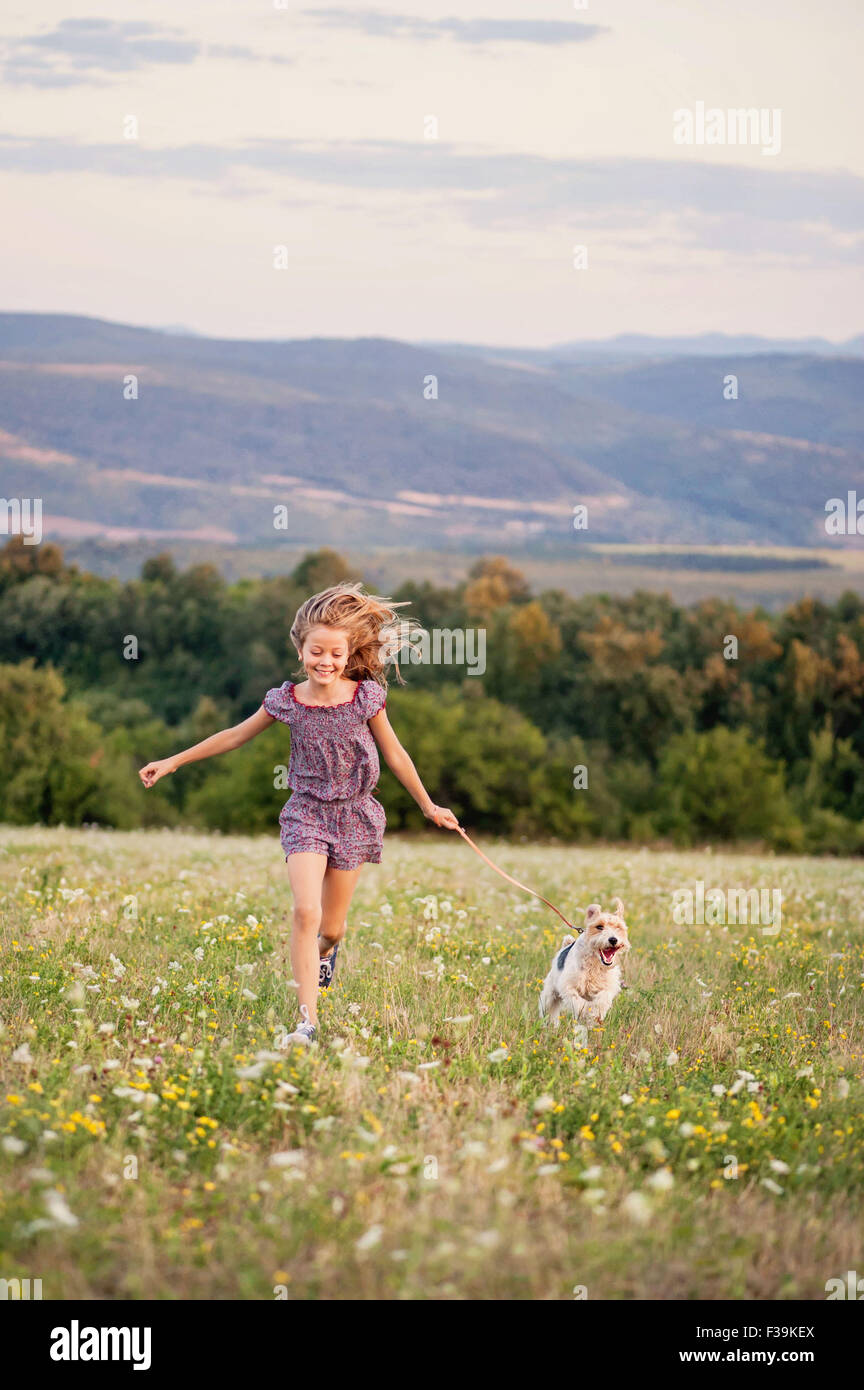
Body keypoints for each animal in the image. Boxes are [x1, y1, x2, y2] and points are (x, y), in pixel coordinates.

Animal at [538, 895, 633, 1028]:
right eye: (599, 926)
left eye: (618, 927)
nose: (613, 940)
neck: (595, 962)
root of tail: (565, 945)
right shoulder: (568, 985)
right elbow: (578, 1002)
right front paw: (585, 1013)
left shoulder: (607, 987)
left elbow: (602, 1000)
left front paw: (594, 1015)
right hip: (550, 994)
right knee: (548, 1009)